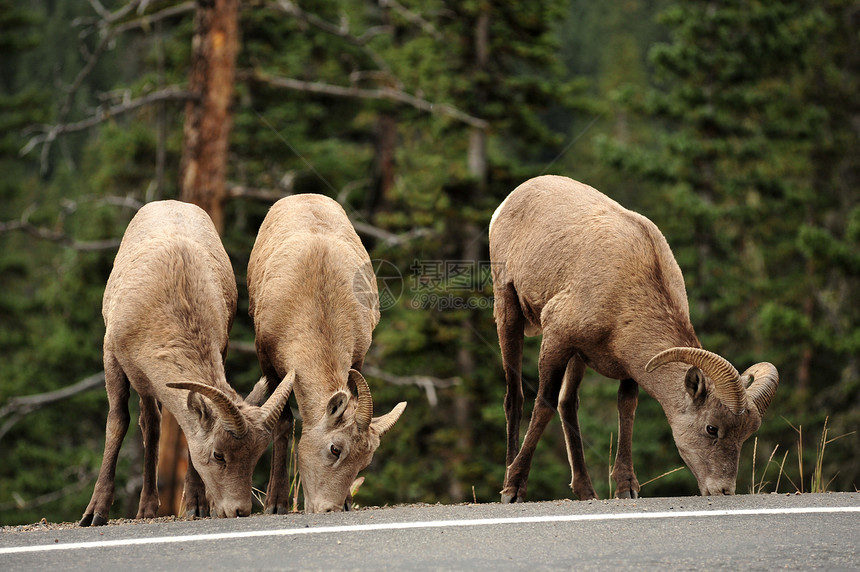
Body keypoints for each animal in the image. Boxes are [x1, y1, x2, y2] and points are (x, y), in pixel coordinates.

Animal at [81, 201, 296, 528]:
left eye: (257, 455)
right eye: (219, 455)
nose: (239, 510)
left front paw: (196, 506)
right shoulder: (112, 356)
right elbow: (118, 422)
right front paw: (95, 514)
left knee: (153, 424)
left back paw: (148, 509)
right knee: (149, 423)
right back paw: (144, 510)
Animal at [245, 193, 406, 512]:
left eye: (363, 463)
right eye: (334, 449)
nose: (329, 508)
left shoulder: (358, 358)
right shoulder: (268, 361)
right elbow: (282, 422)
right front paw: (275, 504)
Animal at [490, 174, 780, 500]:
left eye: (747, 433)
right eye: (711, 428)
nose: (722, 490)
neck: (626, 289)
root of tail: (514, 197)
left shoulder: (627, 366)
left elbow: (626, 410)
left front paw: (626, 487)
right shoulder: (556, 338)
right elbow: (544, 404)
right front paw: (514, 488)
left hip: (578, 358)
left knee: (568, 404)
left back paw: (586, 491)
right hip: (509, 311)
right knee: (515, 398)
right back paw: (509, 479)